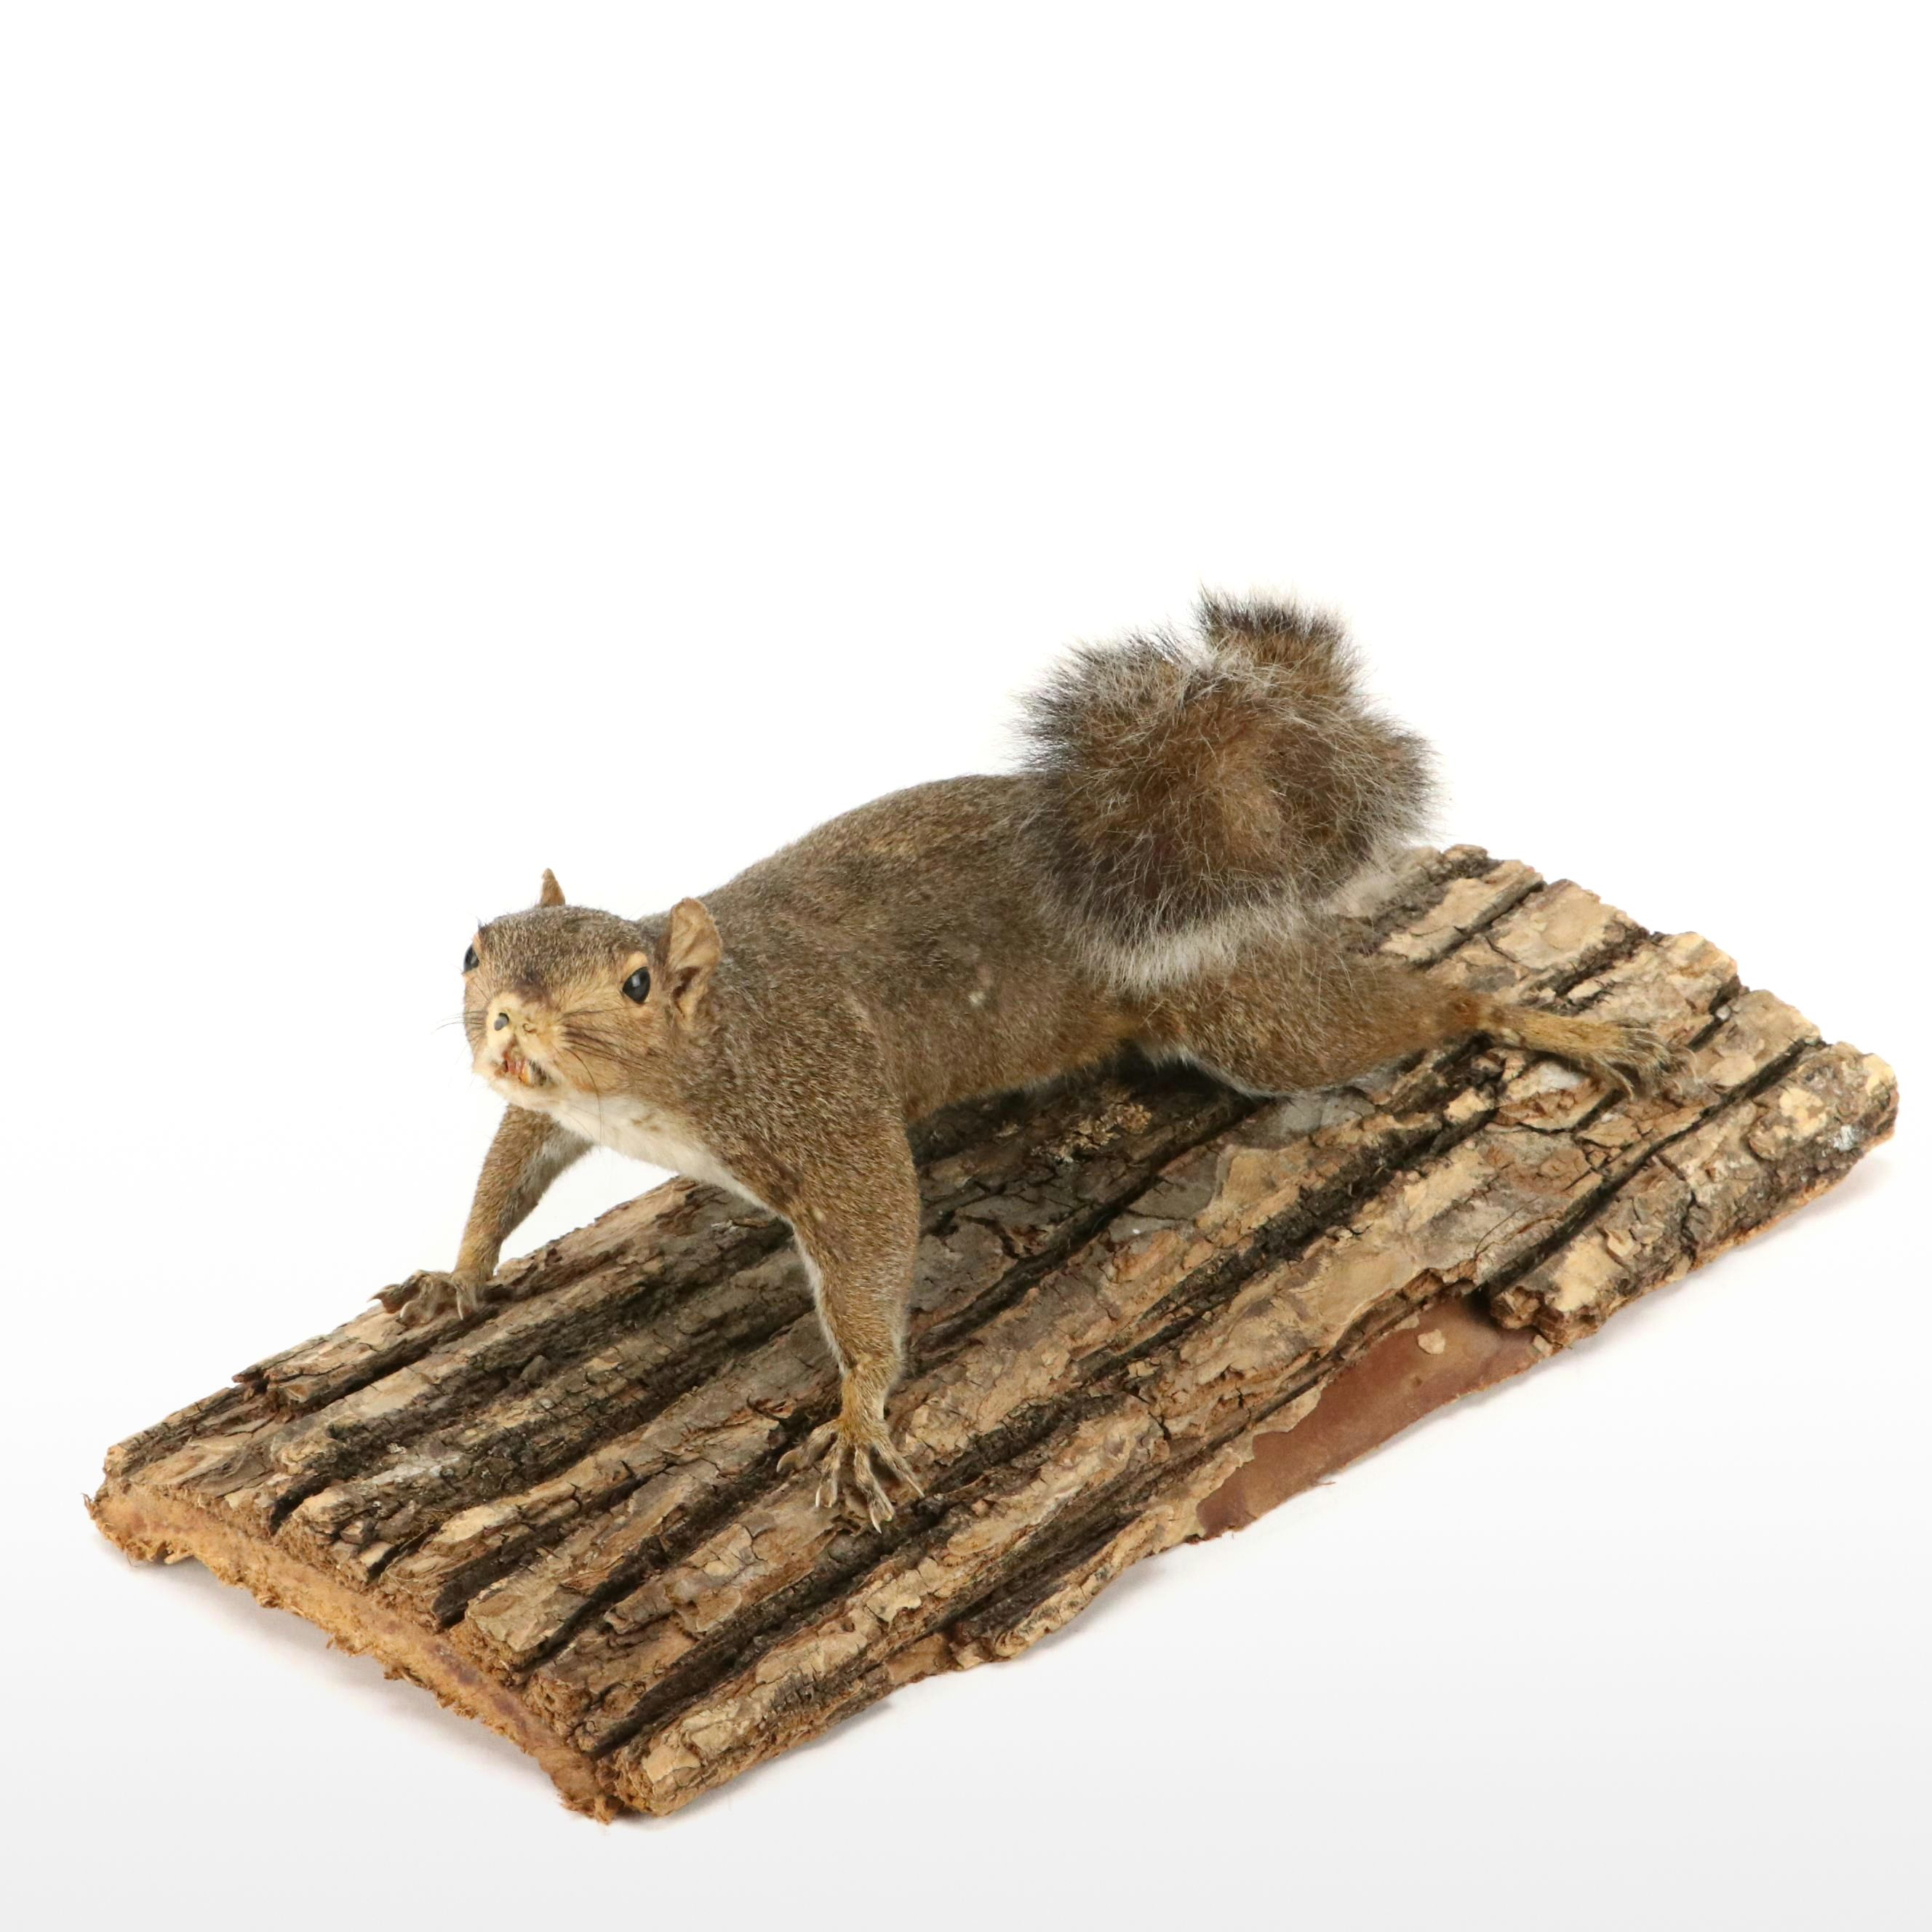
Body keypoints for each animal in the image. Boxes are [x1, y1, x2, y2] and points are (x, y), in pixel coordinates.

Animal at [379, 594, 1672, 1527]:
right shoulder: (559, 1114)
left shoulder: (821, 1105)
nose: (509, 1023)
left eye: (636, 986)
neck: (673, 1072)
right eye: (474, 948)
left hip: (1257, 1024)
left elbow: (873, 1239)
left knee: (1419, 1005)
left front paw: (859, 1414)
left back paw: (1547, 1024)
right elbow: (509, 1165)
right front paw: (459, 1276)